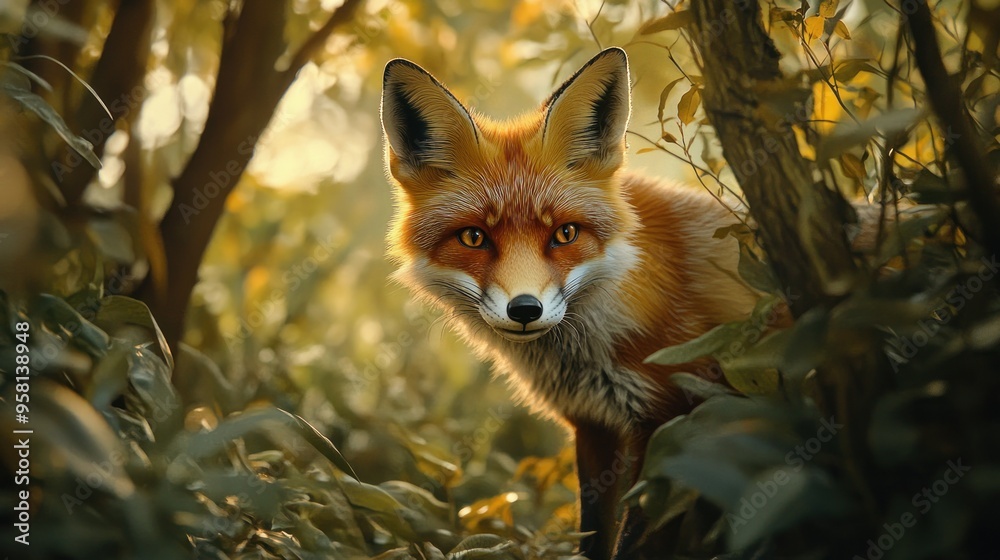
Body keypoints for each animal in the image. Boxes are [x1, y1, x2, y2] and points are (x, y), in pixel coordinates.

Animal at [380, 48, 759, 559]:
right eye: (474, 237)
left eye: (565, 234)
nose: (525, 310)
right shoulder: (594, 425)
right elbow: (593, 533)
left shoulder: (677, 426)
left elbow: (635, 544)